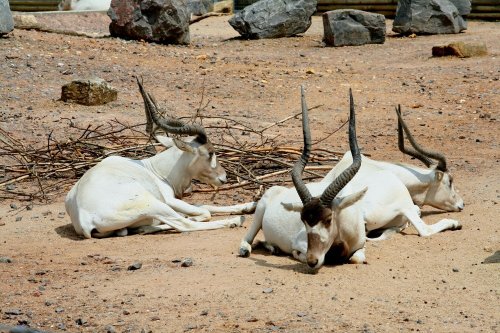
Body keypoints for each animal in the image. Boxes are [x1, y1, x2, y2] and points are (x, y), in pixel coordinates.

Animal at [64, 79, 256, 237]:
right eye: (210, 152)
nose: (224, 178)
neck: (157, 171)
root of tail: (84, 218)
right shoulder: (170, 200)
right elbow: (204, 211)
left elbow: (204, 206)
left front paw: (250, 206)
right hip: (153, 203)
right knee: (184, 224)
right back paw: (233, 222)